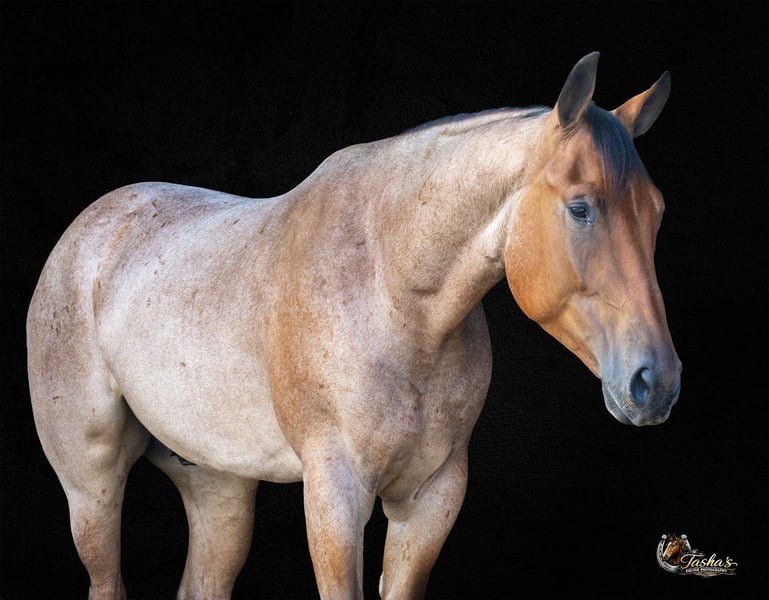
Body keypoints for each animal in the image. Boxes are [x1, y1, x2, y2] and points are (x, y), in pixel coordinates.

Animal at [26, 52, 681, 599]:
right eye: (580, 208)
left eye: (657, 211)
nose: (657, 383)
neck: (393, 295)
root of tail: (90, 227)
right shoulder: (335, 496)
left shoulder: (432, 497)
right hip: (91, 486)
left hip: (217, 486)